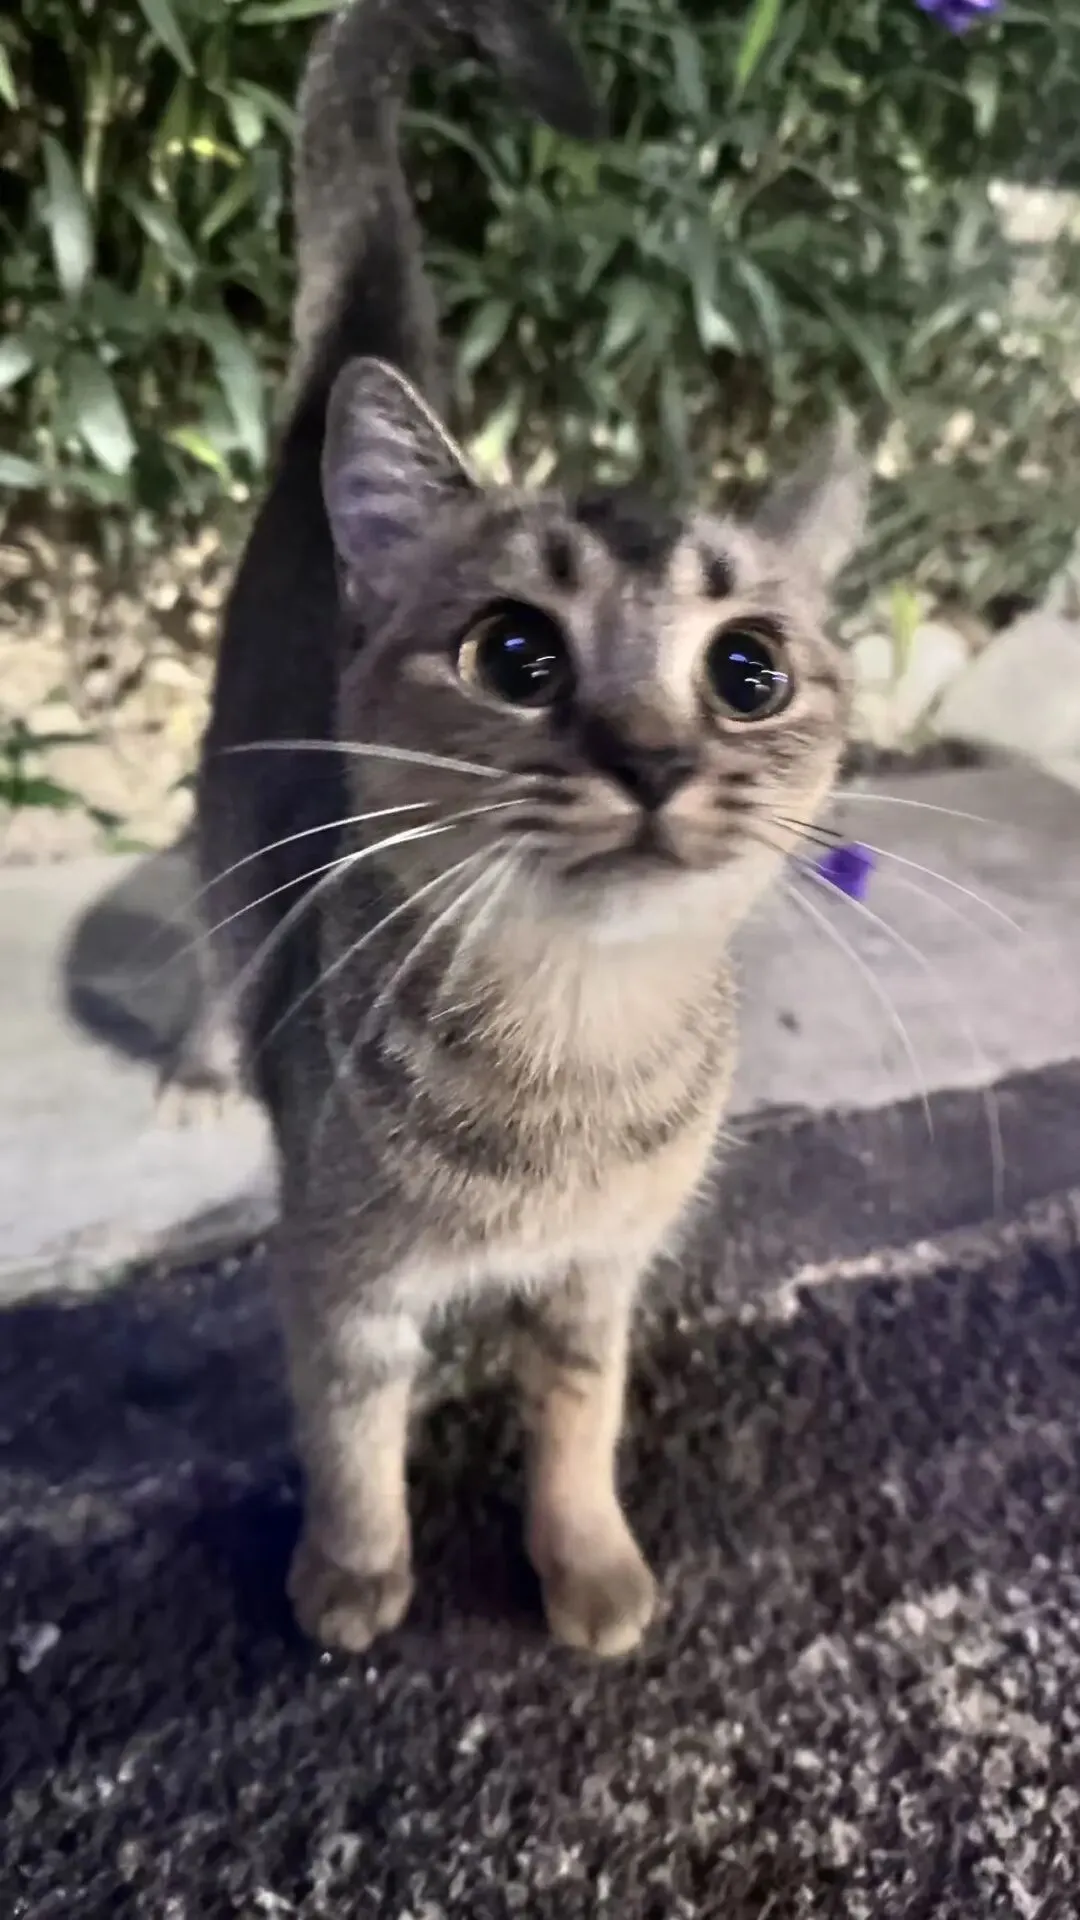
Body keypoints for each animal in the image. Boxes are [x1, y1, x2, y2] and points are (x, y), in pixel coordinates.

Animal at [191, 0, 868, 1659]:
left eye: (750, 673)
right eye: (514, 655)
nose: (651, 756)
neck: (570, 1053)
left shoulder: (597, 1275)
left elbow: (578, 1416)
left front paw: (589, 1568)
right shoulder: (342, 1275)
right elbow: (351, 1429)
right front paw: (354, 1577)